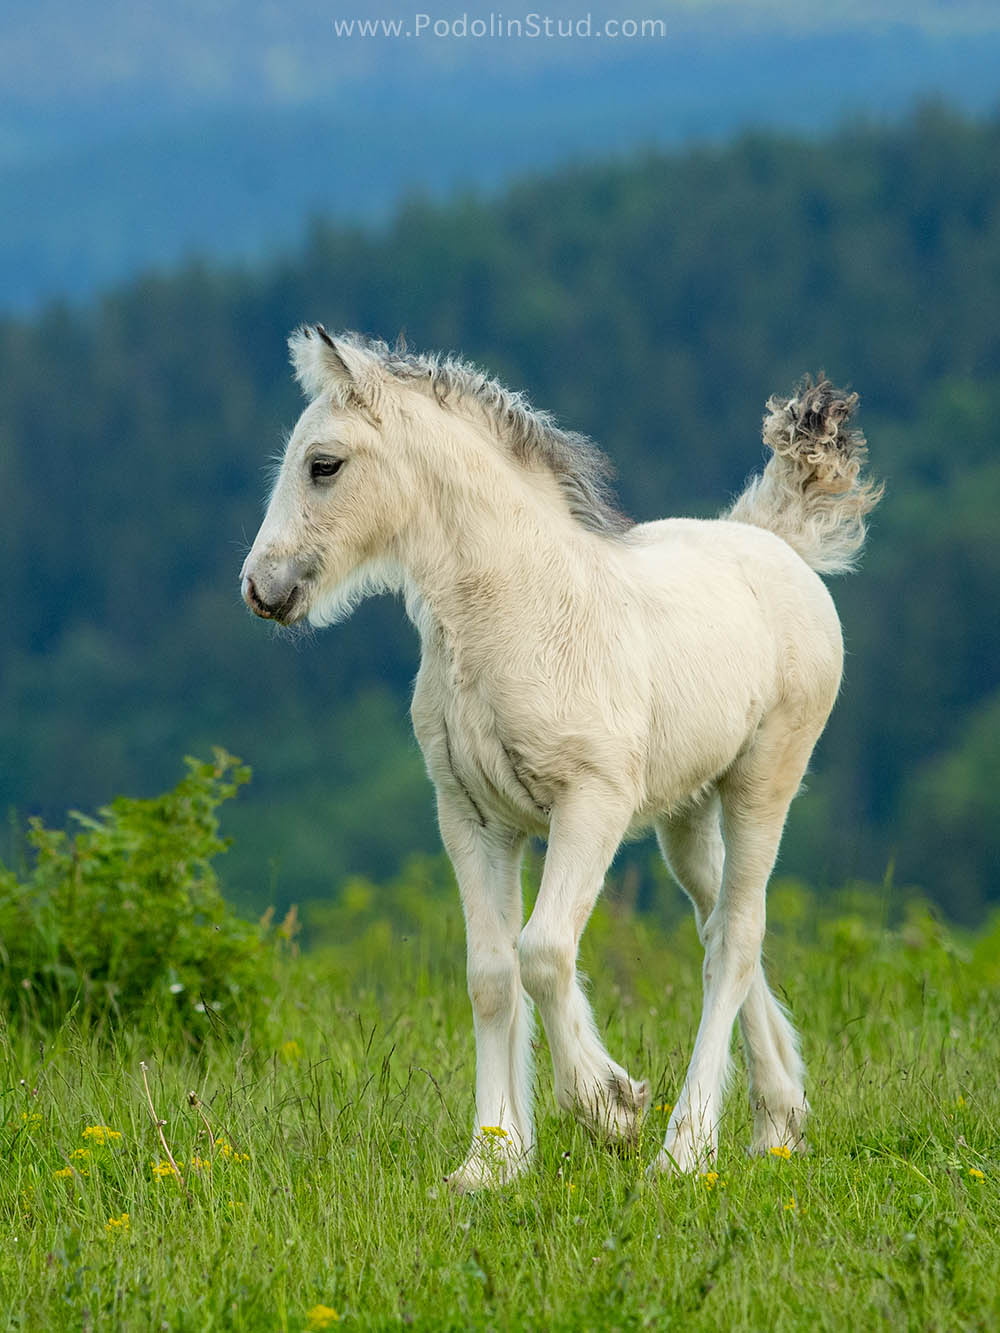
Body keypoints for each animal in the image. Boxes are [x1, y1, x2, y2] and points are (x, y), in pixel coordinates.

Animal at [242, 330, 885, 1189]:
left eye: (323, 464)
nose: (260, 586)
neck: (521, 613)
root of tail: (776, 540)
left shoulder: (593, 801)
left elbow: (544, 952)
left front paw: (609, 1108)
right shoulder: (472, 815)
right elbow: (490, 974)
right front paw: (491, 1158)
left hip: (764, 778)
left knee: (737, 937)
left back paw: (685, 1147)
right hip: (686, 813)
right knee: (718, 921)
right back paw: (778, 1116)